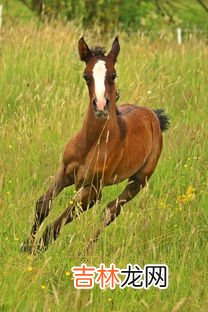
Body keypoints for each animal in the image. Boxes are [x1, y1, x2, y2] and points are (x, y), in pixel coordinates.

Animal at [20, 37, 169, 255]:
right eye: (86, 76)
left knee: (111, 211)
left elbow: (56, 224)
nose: (100, 106)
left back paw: (86, 250)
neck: (91, 143)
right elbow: (43, 205)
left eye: (113, 75)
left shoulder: (93, 190)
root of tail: (153, 115)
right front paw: (25, 245)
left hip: (140, 180)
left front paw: (37, 249)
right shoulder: (64, 171)